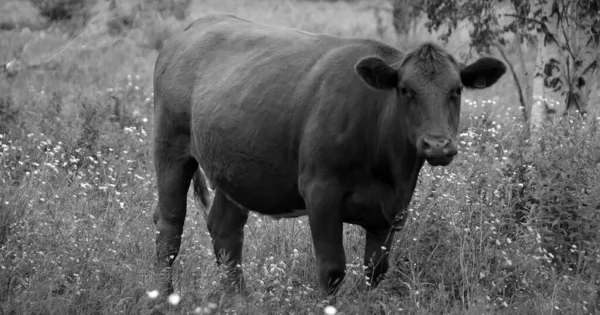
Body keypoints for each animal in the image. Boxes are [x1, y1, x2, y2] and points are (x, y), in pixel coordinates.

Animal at [151, 13, 506, 298]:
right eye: (406, 90)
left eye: (456, 91)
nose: (437, 145)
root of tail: (193, 28)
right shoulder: (321, 193)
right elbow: (332, 270)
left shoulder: (392, 212)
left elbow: (376, 271)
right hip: (171, 147)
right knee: (169, 225)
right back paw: (164, 297)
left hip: (235, 168)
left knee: (225, 230)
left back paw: (237, 300)